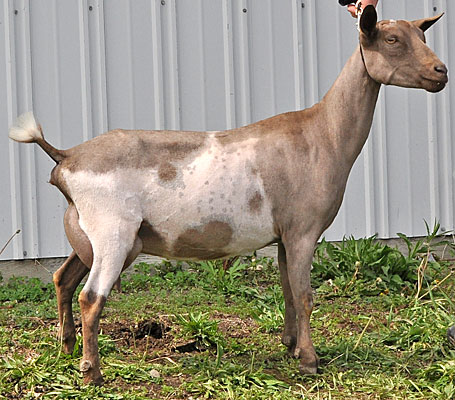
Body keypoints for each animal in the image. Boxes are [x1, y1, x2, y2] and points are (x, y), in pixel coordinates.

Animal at [8, 6, 448, 385]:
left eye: (421, 35)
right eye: (391, 39)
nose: (440, 71)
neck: (322, 134)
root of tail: (66, 158)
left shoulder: (285, 234)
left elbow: (288, 288)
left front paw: (290, 345)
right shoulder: (304, 229)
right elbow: (305, 294)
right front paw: (309, 360)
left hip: (92, 234)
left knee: (63, 278)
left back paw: (67, 350)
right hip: (113, 230)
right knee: (90, 297)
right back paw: (92, 373)